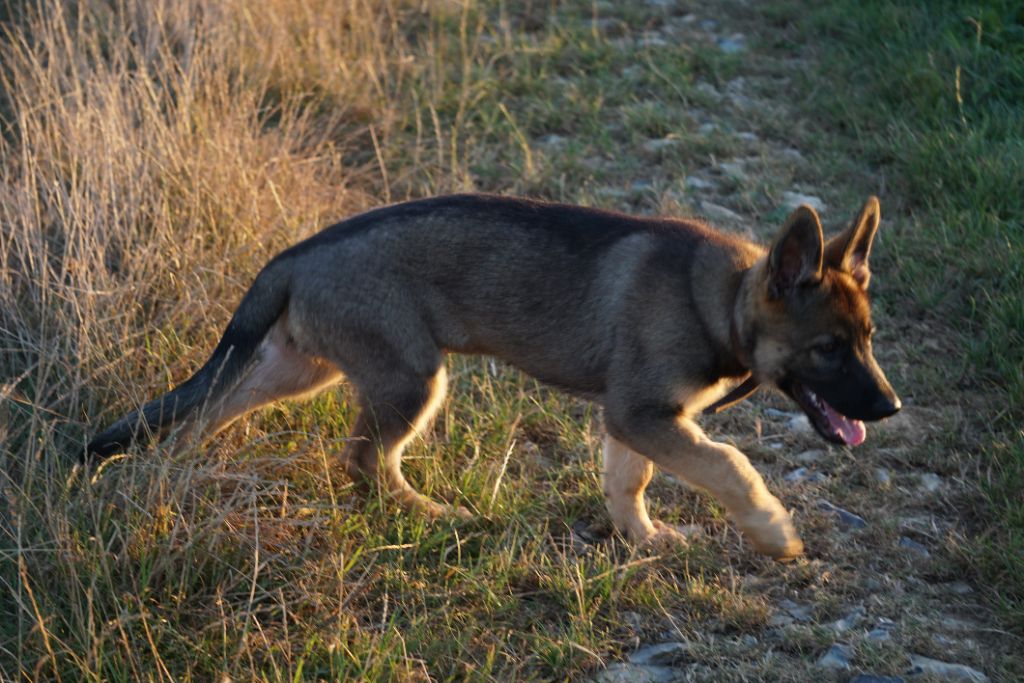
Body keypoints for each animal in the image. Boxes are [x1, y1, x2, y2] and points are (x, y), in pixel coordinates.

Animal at [90, 192, 905, 561]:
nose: (891, 406)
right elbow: (730, 463)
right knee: (363, 459)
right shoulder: (643, 412)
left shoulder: (637, 416)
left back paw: (167, 473)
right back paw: (432, 514)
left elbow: (630, 480)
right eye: (829, 349)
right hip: (412, 376)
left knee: (205, 412)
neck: (719, 303)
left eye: (869, 340)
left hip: (299, 365)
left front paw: (640, 536)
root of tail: (293, 254)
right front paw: (771, 528)